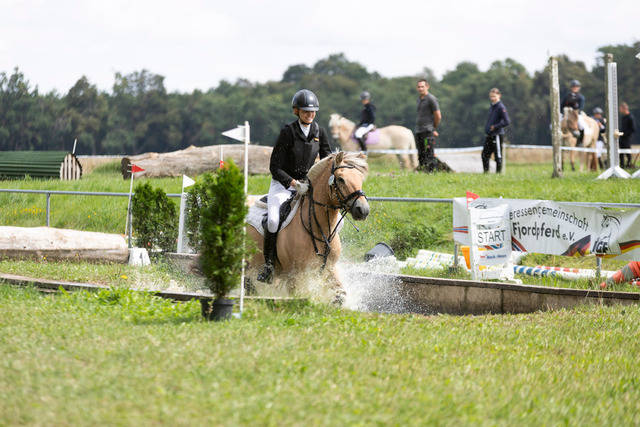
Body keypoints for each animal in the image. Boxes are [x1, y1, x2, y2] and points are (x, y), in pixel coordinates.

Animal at [246, 152, 370, 303]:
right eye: (341, 179)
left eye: (360, 178)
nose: (363, 210)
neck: (319, 229)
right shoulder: (295, 276)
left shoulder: (330, 268)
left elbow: (340, 295)